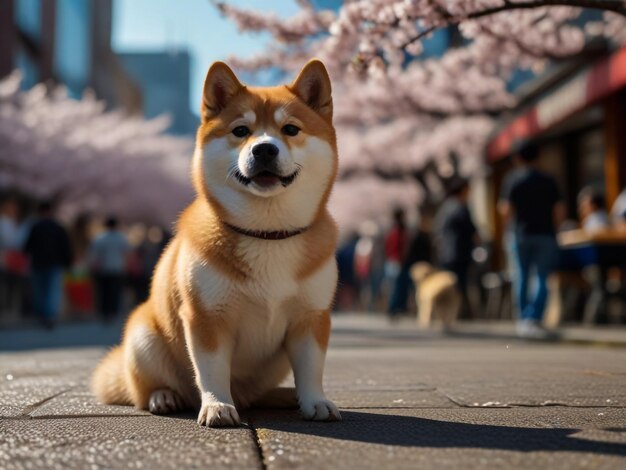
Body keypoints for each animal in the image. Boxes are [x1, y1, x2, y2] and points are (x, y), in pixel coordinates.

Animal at [90, 58, 338, 426]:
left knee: (257, 393)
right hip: (143, 336)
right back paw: (164, 396)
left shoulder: (311, 317)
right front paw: (218, 405)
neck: (267, 234)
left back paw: (281, 396)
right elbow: (212, 370)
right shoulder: (207, 317)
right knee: (146, 387)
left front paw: (314, 401)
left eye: (291, 129)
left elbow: (311, 369)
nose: (264, 148)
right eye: (241, 131)